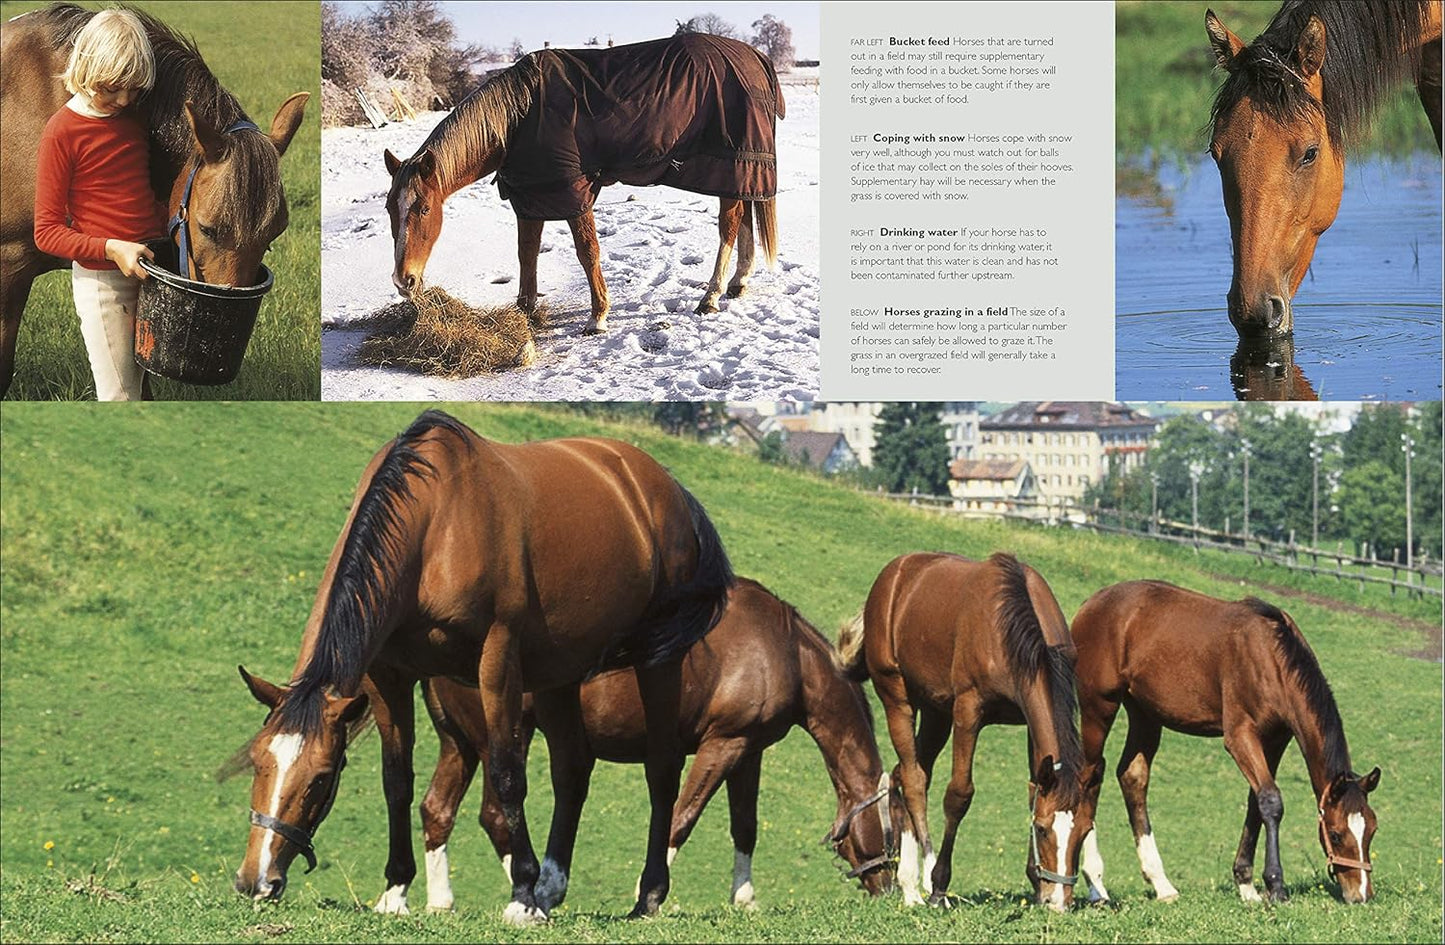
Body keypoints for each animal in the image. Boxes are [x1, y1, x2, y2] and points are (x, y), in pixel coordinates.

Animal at [230, 409, 734, 925]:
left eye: (321, 778)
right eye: (258, 763)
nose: (256, 881)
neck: (435, 525)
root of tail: (663, 486)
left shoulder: (498, 661)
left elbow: (508, 776)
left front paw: (522, 896)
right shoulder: (389, 676)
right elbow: (397, 781)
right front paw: (395, 890)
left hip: (658, 660)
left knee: (662, 770)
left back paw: (645, 894)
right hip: (560, 672)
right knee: (572, 770)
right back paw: (552, 888)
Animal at [369, 578, 899, 915]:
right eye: (892, 833)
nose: (889, 888)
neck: (780, 649)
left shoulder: (748, 751)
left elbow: (744, 827)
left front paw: (744, 898)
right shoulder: (722, 746)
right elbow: (681, 818)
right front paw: (648, 895)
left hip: (460, 744)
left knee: (437, 809)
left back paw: (435, 900)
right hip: (499, 737)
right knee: (496, 815)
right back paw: (528, 895)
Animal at [383, 33, 784, 334]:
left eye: (424, 208)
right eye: (390, 208)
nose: (404, 281)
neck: (520, 116)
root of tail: (754, 56)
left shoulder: (571, 189)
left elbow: (588, 252)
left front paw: (598, 317)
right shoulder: (532, 194)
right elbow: (526, 252)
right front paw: (526, 311)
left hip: (731, 164)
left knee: (729, 225)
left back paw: (711, 295)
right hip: (740, 169)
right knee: (744, 215)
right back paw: (737, 283)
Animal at [839, 552, 1100, 912]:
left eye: (1084, 832)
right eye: (1043, 830)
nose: (1058, 902)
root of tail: (894, 573)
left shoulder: (1028, 723)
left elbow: (1034, 789)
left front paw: (1035, 883)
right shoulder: (967, 712)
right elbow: (958, 795)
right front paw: (938, 885)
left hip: (935, 712)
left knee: (902, 774)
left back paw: (907, 883)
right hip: (897, 698)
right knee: (914, 780)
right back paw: (921, 881)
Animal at [1069, 580, 1381, 905]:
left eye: (1372, 830)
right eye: (1335, 834)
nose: (1361, 894)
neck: (1270, 657)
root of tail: (1091, 603)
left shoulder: (1275, 740)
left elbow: (1258, 802)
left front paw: (1247, 884)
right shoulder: (1240, 736)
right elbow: (1271, 801)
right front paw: (1276, 886)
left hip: (1145, 714)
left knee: (1132, 777)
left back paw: (1161, 884)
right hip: (1098, 707)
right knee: (1089, 776)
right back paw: (1096, 884)